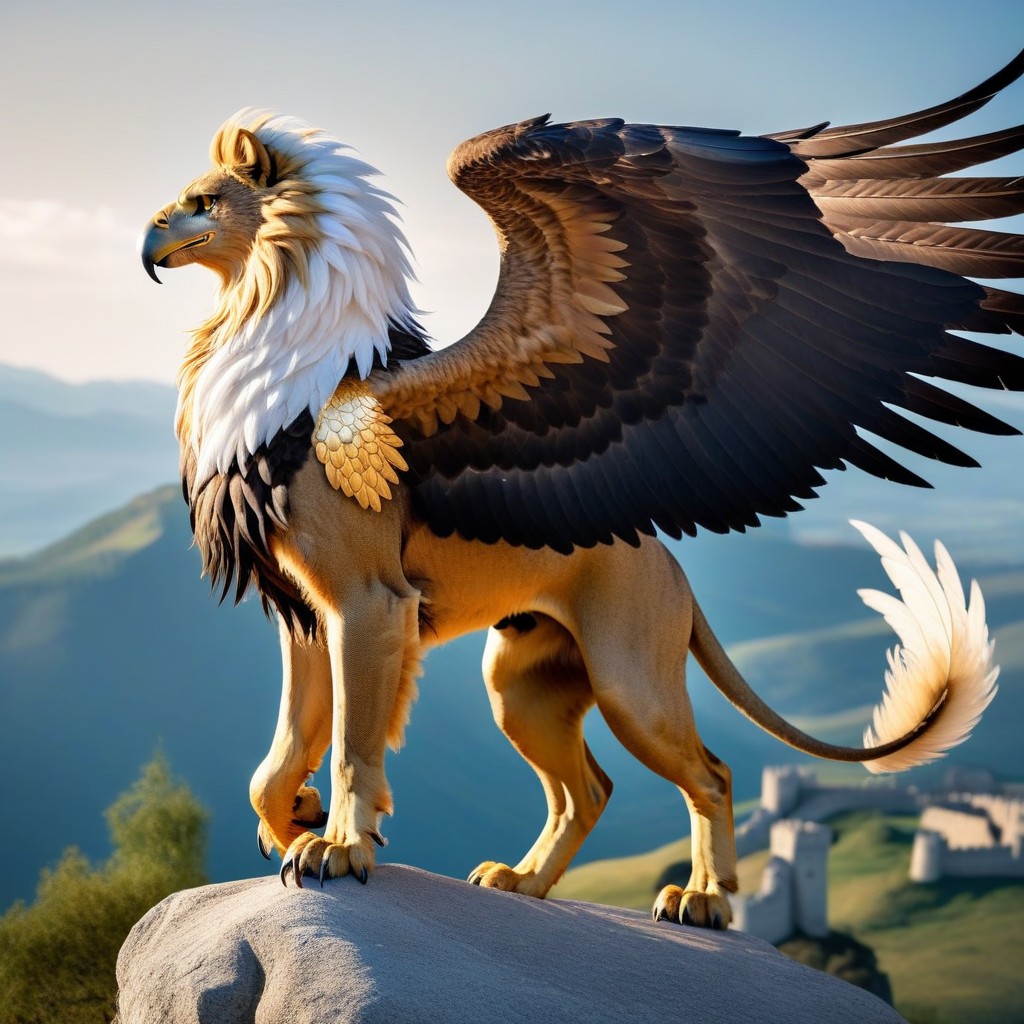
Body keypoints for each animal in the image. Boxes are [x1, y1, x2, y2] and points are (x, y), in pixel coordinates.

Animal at [139, 54, 1022, 927]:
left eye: (203, 202)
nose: (150, 241)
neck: (273, 359)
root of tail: (668, 561)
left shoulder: (368, 599)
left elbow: (357, 740)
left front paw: (340, 848)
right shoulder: (305, 610)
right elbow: (282, 753)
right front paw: (294, 814)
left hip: (632, 676)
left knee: (711, 774)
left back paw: (702, 899)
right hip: (523, 682)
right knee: (585, 790)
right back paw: (522, 881)